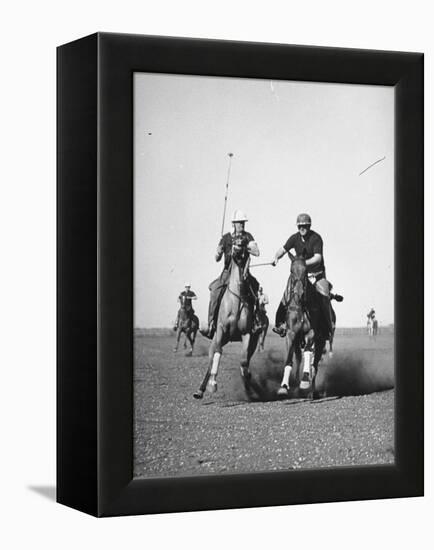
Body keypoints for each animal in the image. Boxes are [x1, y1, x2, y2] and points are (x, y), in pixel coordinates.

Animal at [194, 244, 262, 398]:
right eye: (233, 244)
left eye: (244, 243)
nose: (236, 250)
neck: (236, 300)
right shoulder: (221, 329)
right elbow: (218, 353)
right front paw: (213, 384)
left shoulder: (246, 333)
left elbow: (243, 361)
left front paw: (249, 384)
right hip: (217, 339)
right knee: (211, 361)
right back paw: (200, 390)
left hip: (253, 342)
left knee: (246, 360)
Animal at [278, 254, 328, 402]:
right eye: (291, 270)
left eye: (306, 271)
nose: (299, 293)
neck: (301, 306)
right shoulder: (291, 333)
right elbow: (289, 359)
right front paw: (284, 386)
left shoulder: (311, 333)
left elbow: (308, 354)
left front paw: (305, 381)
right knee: (299, 359)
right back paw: (296, 387)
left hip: (320, 342)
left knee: (314, 366)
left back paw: (312, 392)